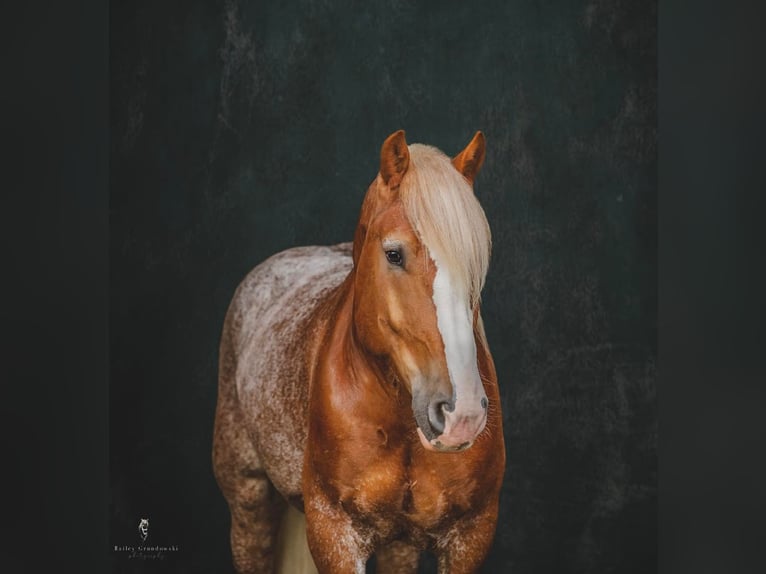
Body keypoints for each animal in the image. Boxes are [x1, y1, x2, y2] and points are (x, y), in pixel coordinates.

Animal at [213, 132, 508, 574]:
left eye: (475, 266)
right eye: (393, 254)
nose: (462, 415)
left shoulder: (470, 536)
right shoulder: (334, 533)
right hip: (249, 505)